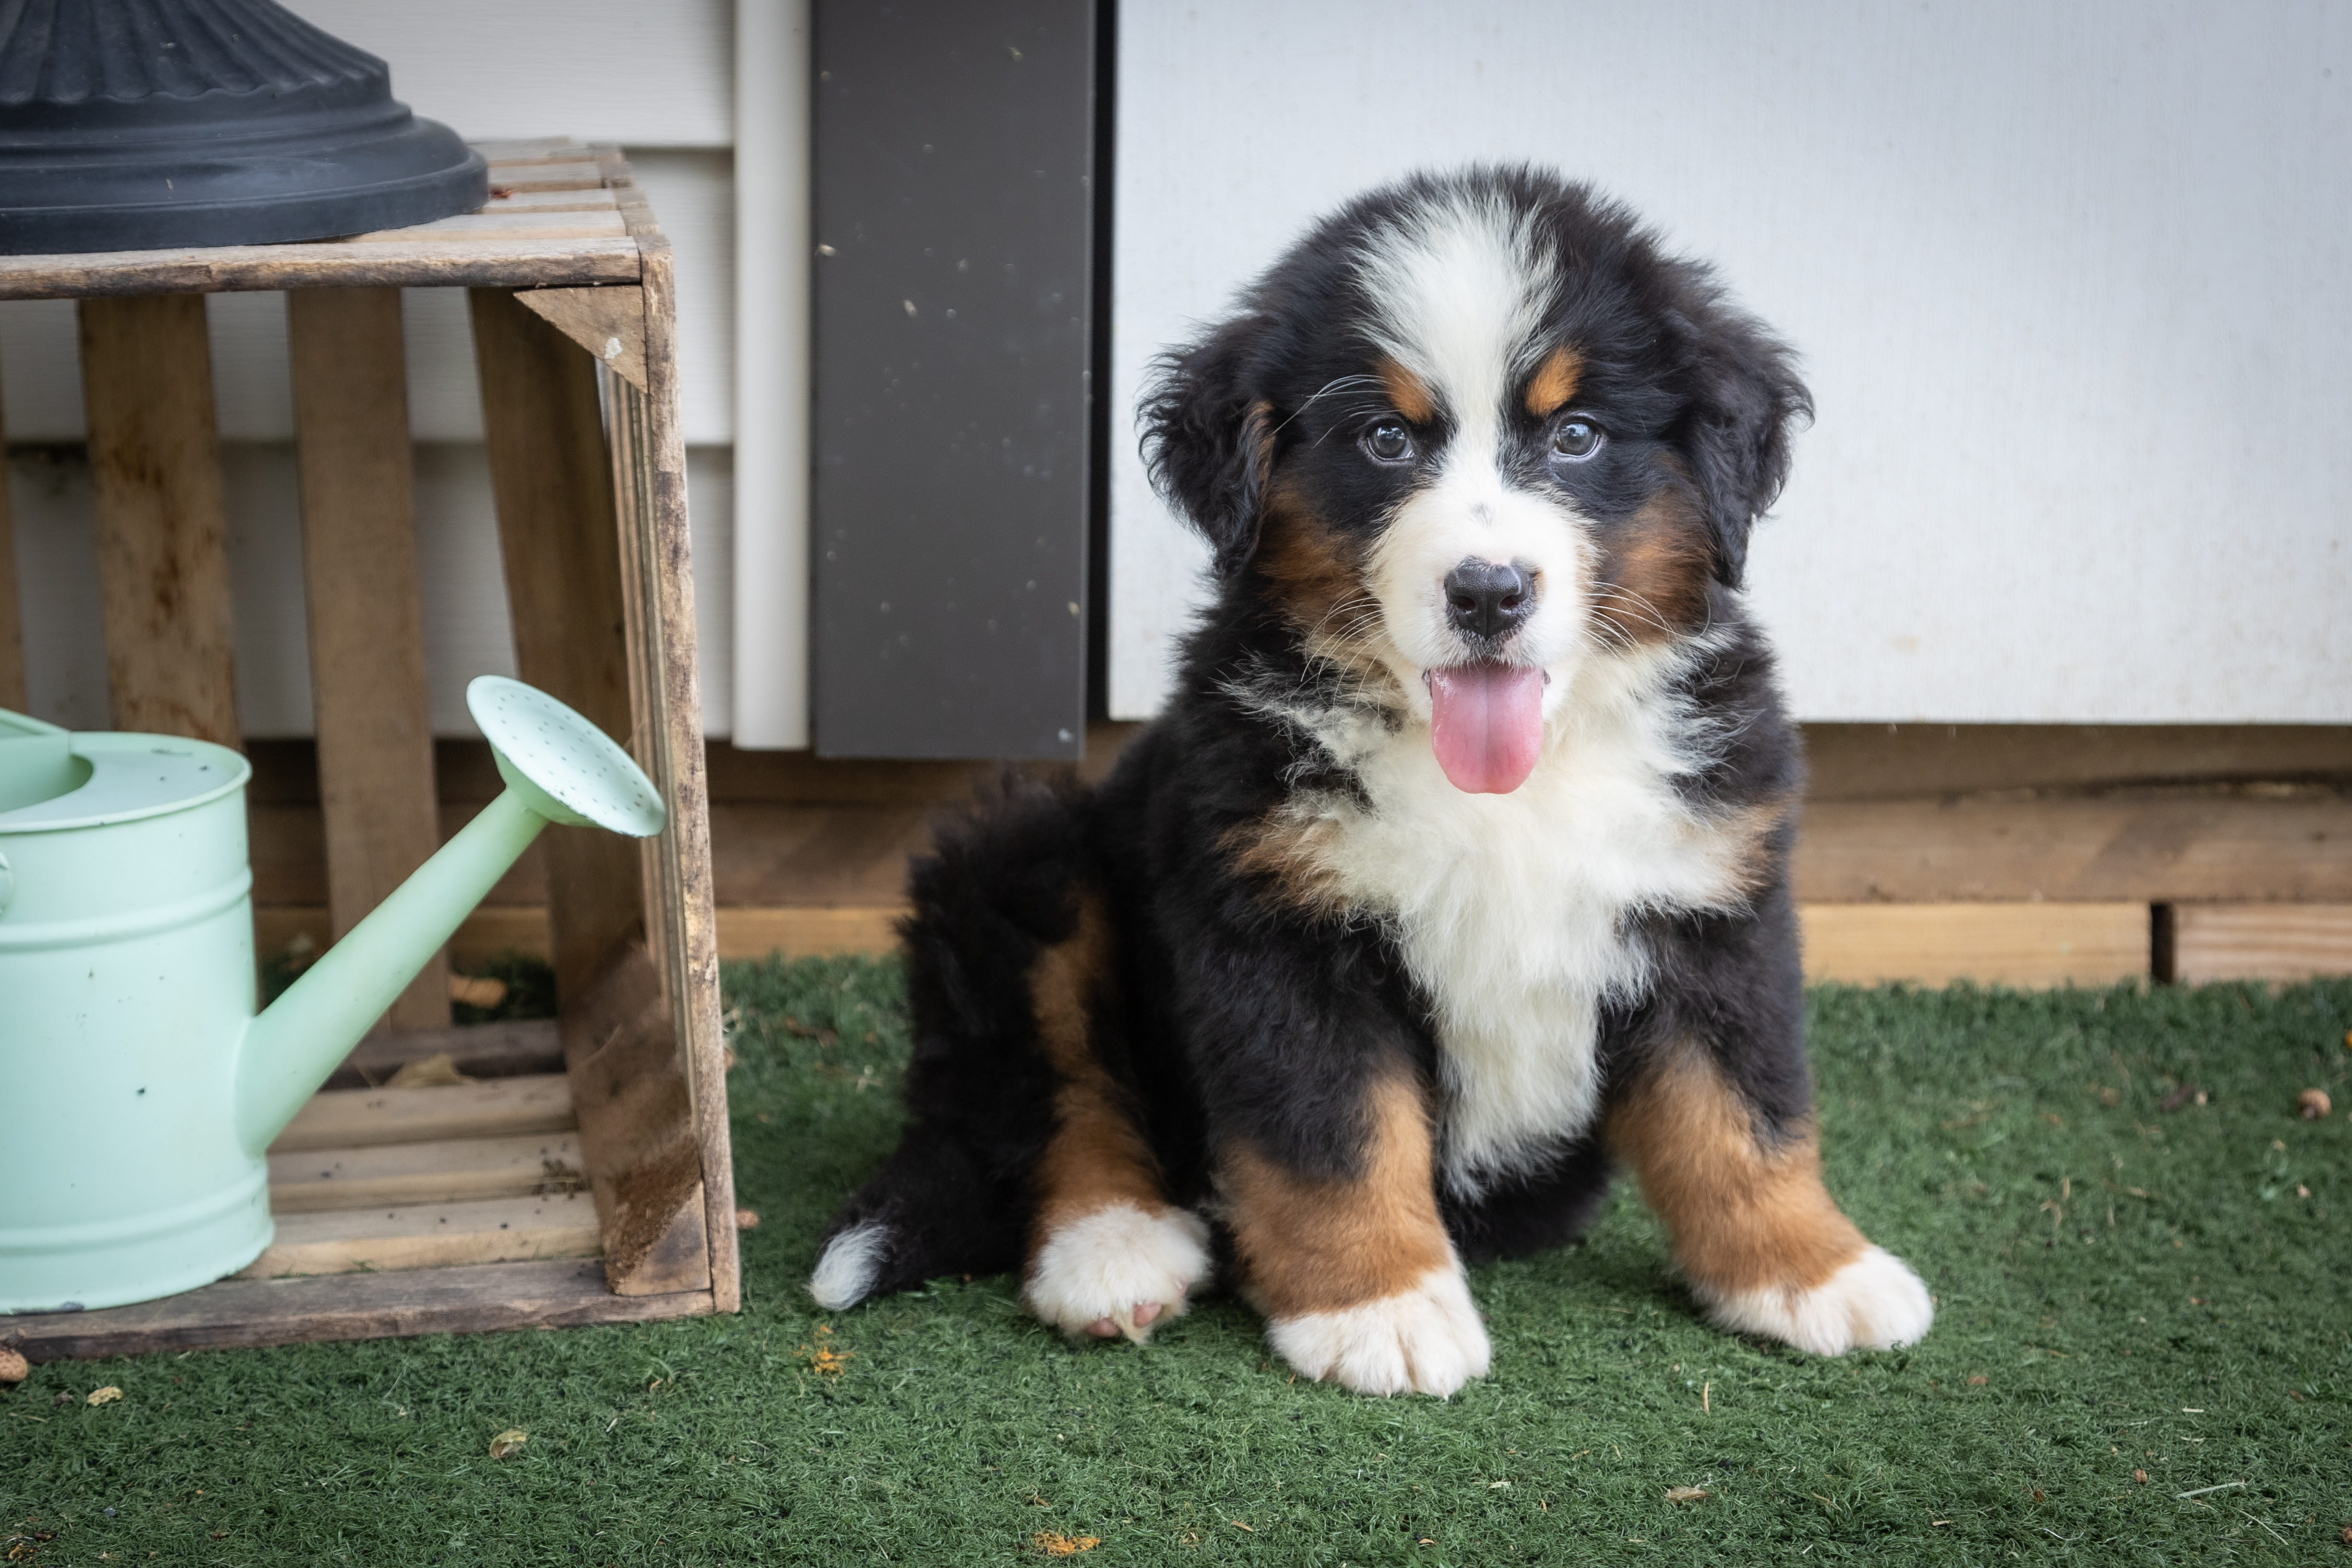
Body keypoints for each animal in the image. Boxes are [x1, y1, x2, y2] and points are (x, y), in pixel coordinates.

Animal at [809, 169, 1928, 1401]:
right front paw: (1377, 1306)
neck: (1505, 783)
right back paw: (1113, 1248)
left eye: (1577, 435)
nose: (1488, 591)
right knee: (1057, 1089)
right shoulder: (1278, 921)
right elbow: (1335, 1132)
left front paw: (1810, 1269)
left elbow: (1742, 1111)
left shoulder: (1710, 897)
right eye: (1386, 438)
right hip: (1025, 854)